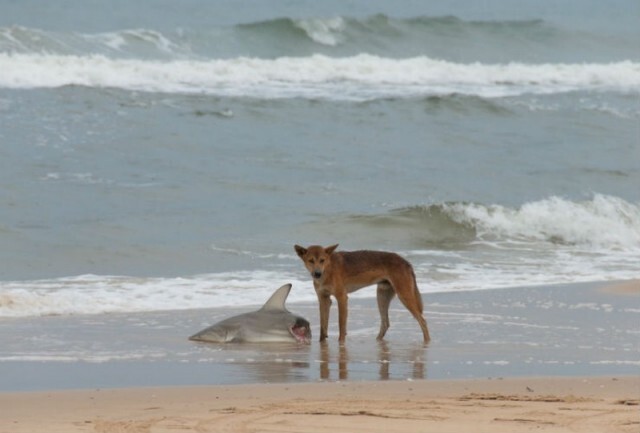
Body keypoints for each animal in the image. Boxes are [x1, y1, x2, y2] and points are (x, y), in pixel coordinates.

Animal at [296, 245, 430, 342]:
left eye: (322, 260)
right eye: (311, 261)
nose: (317, 273)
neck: (328, 270)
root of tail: (406, 262)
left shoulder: (342, 297)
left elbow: (341, 326)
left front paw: (341, 343)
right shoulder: (323, 299)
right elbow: (323, 327)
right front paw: (322, 343)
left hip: (404, 296)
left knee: (422, 321)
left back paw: (427, 342)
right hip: (382, 296)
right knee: (385, 323)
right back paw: (377, 341)